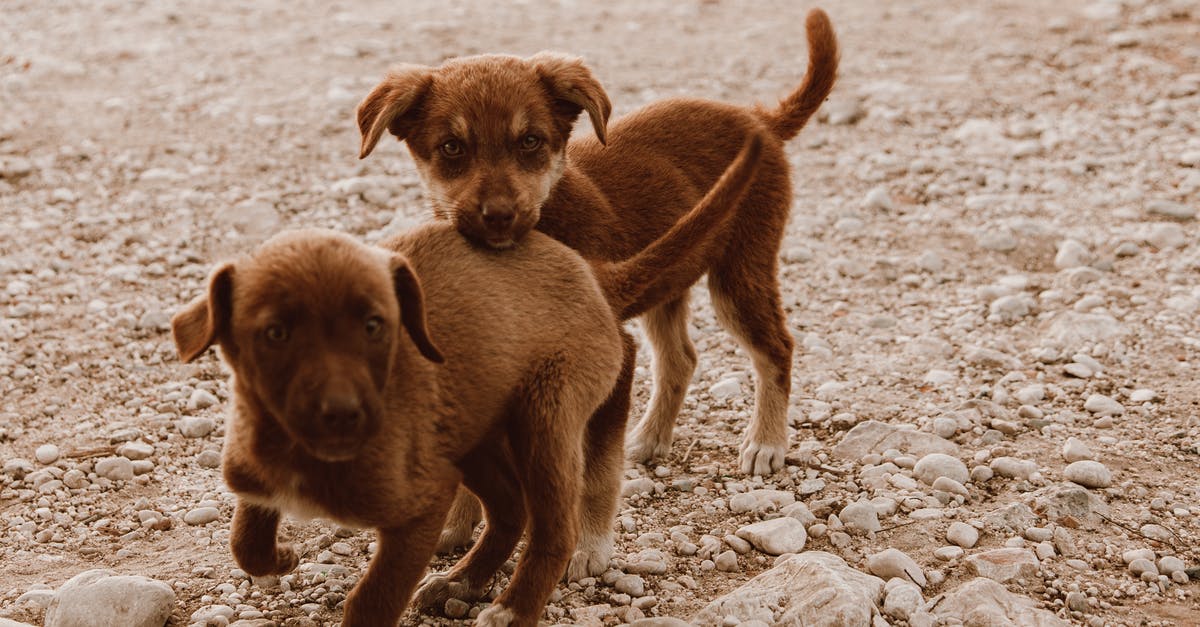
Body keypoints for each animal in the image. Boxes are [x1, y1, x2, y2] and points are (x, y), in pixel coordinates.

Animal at [169, 136, 758, 624]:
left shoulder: (422, 506)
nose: (344, 414)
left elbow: (372, 599)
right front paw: (279, 556)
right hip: (475, 430)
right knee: (510, 510)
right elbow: (245, 539)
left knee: (554, 526)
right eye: (275, 333)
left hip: (544, 416)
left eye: (375, 326)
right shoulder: (255, 469)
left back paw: (513, 608)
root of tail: (593, 274)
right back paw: (464, 581)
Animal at [355, 8, 840, 473]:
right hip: (670, 282)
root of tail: (760, 119)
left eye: (530, 141)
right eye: (452, 147)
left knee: (775, 348)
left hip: (741, 269)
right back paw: (649, 438)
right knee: (680, 358)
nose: (498, 216)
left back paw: (766, 442)